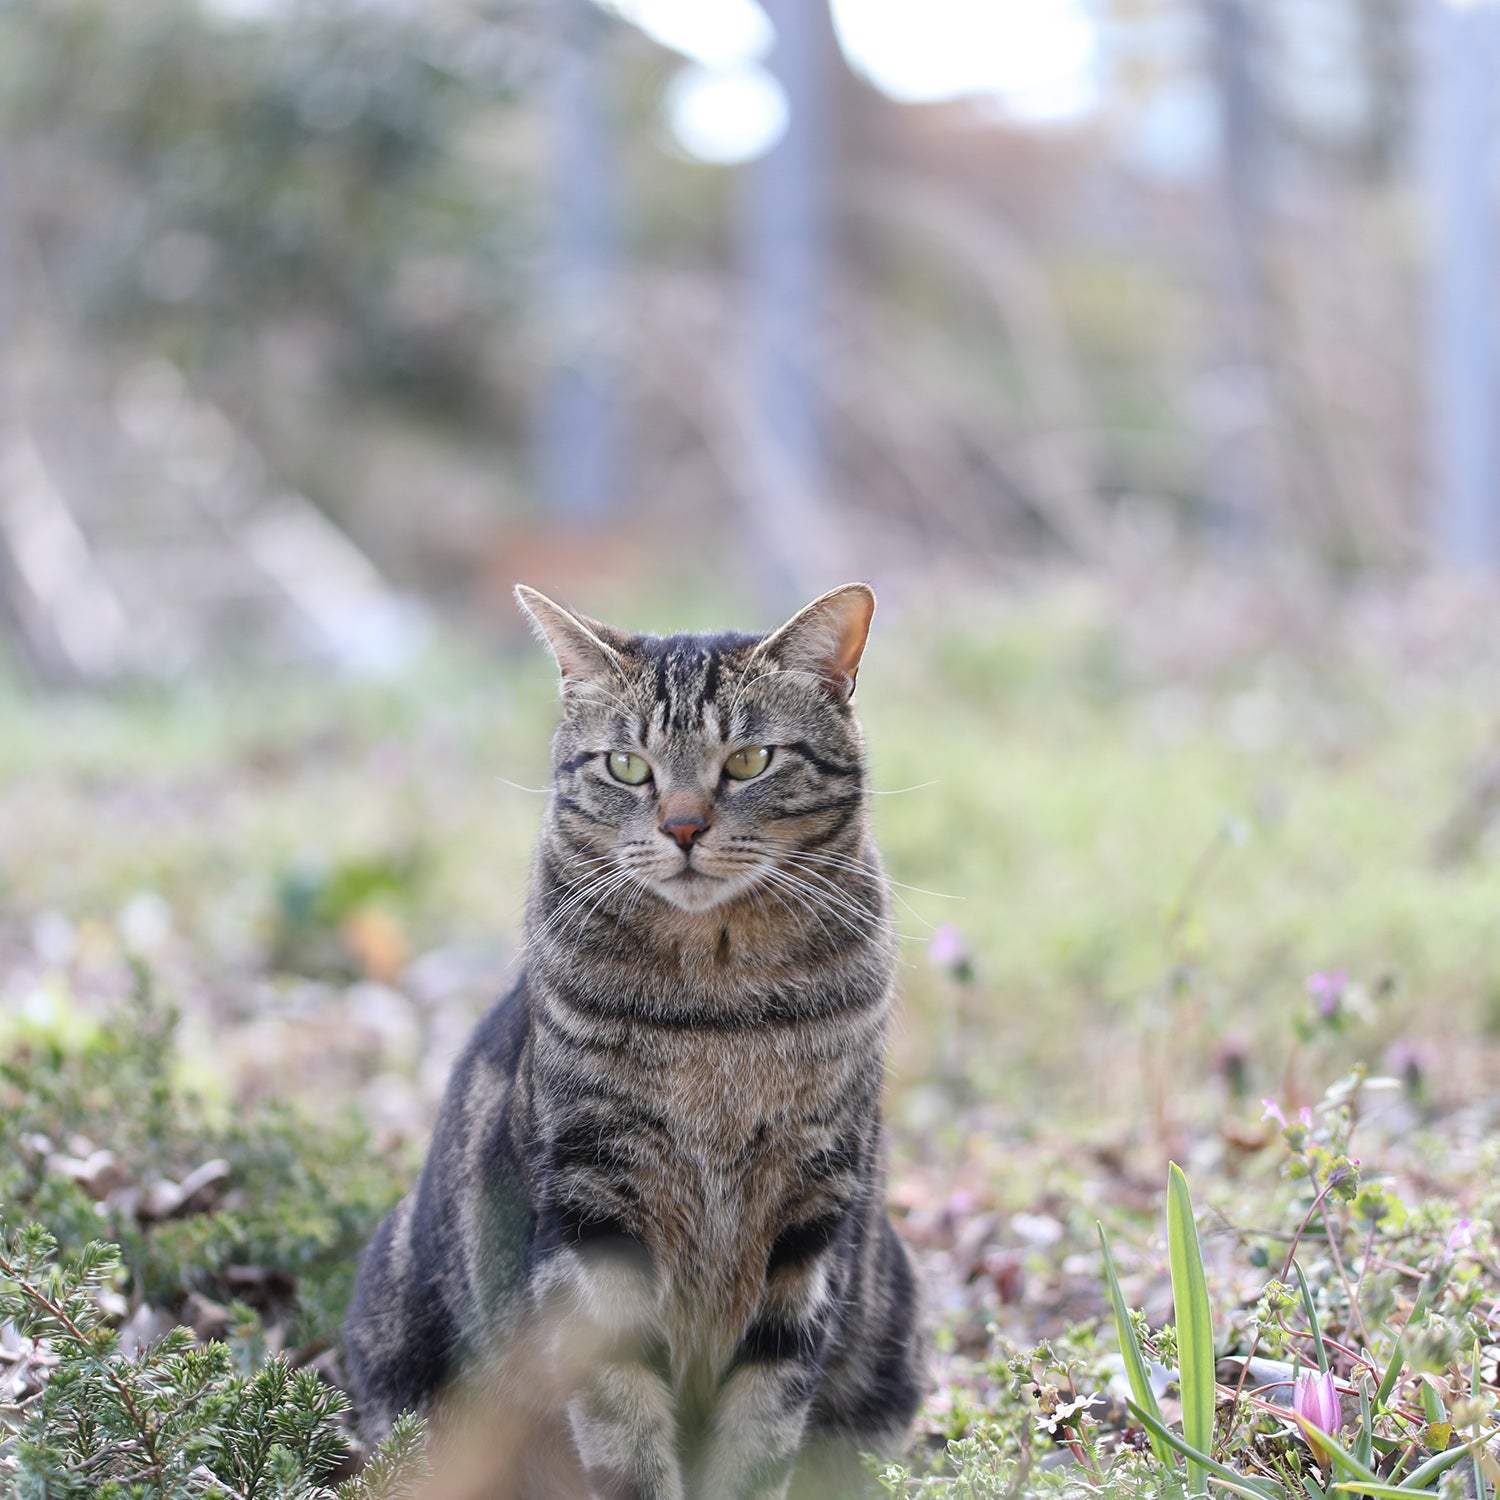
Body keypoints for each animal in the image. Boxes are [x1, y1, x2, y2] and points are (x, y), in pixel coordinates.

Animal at [345, 579, 924, 1494]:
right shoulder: (593, 1201)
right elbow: (624, 1427)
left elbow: (763, 1426)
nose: (682, 827)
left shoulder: (812, 1210)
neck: (719, 1009)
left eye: (749, 761)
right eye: (627, 766)